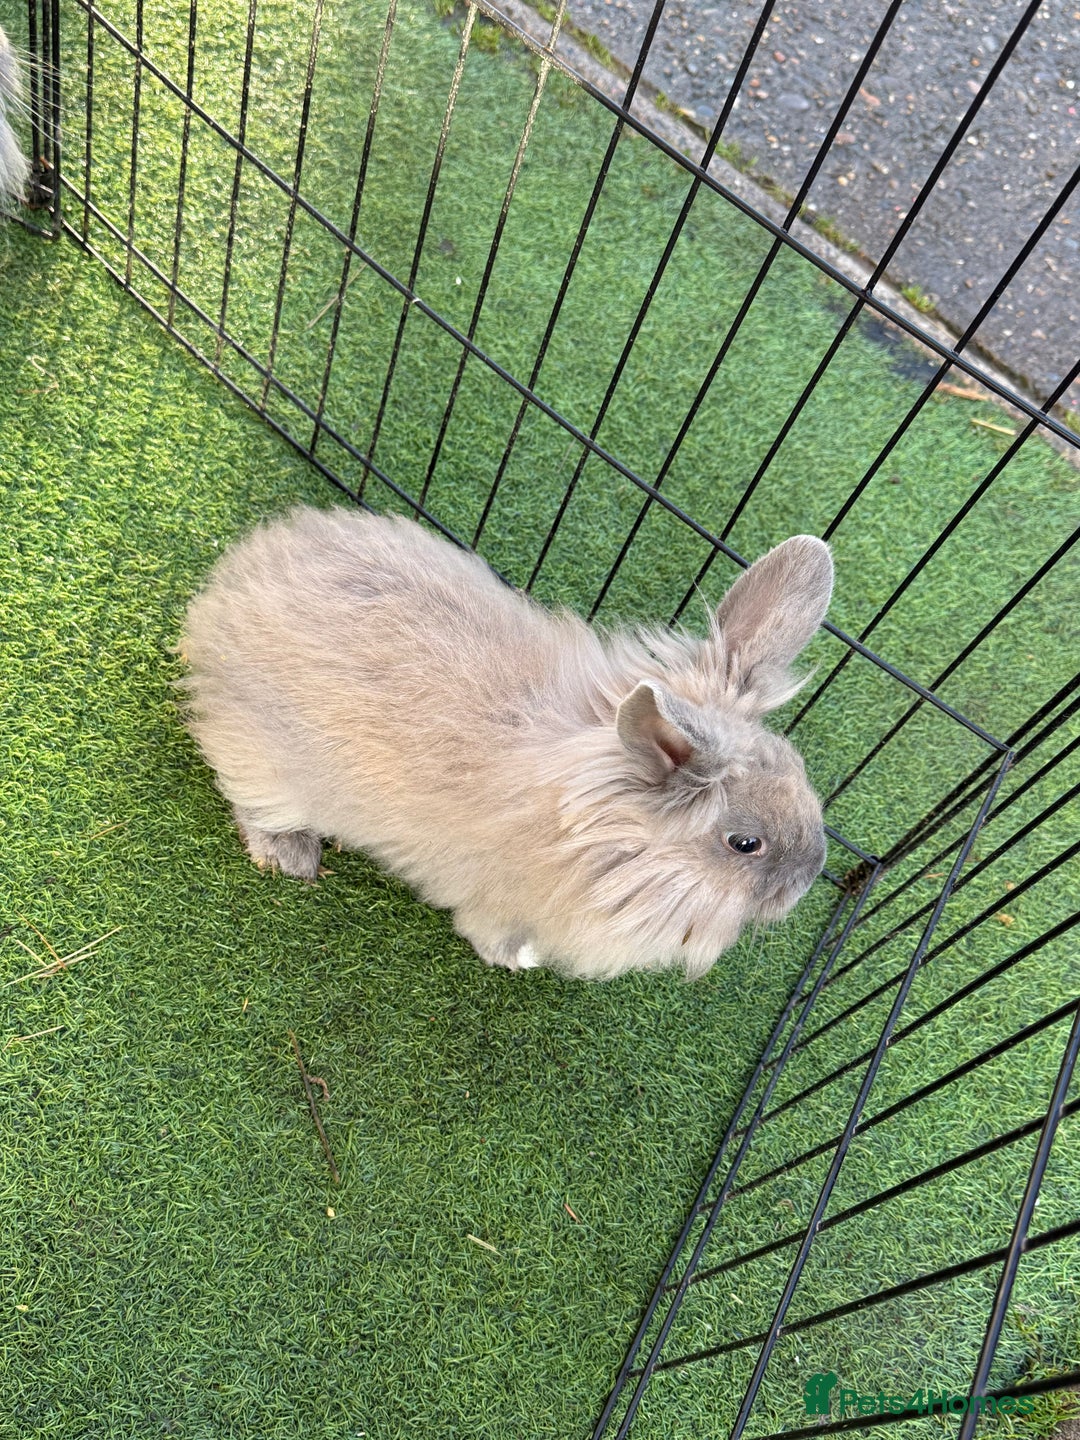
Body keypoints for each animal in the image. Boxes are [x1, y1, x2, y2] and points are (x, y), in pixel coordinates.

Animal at [178, 504, 833, 981]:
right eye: (744, 843)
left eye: (801, 778)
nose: (805, 881)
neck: (597, 835)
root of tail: (220, 593)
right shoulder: (500, 906)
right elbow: (495, 936)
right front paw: (521, 961)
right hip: (265, 767)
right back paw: (291, 855)